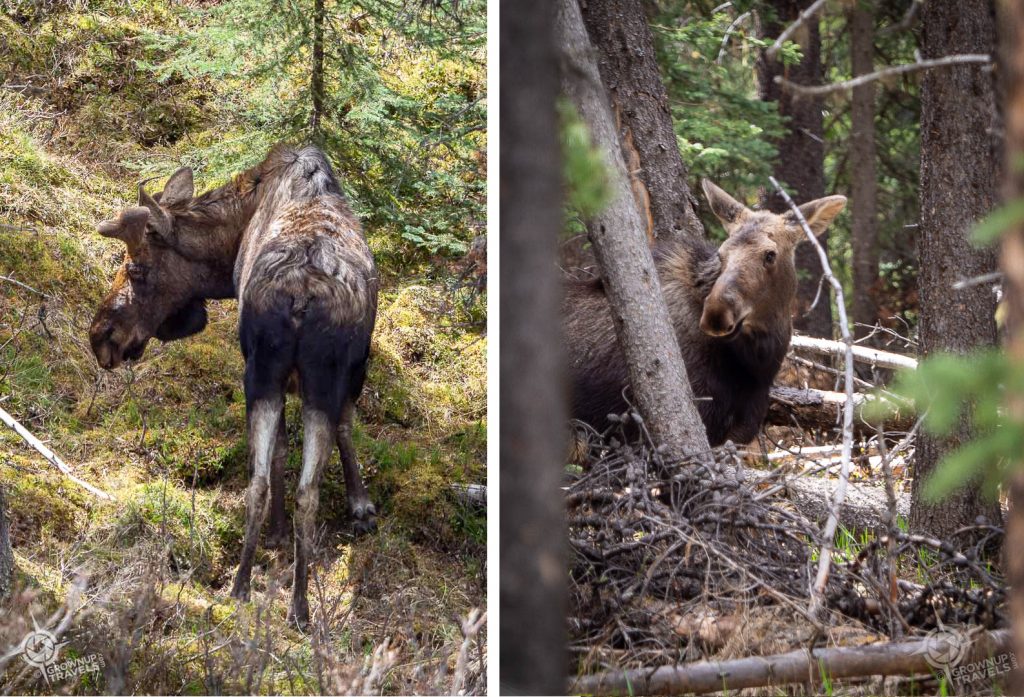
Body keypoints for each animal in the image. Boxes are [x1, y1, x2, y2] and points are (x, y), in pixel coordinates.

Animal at [88, 145, 378, 627]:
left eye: (136, 268)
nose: (100, 337)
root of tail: (301, 295)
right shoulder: (343, 370)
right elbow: (327, 434)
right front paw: (355, 506)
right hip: (291, 376)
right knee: (293, 485)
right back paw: (279, 594)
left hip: (269, 374)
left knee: (278, 485)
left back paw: (260, 592)